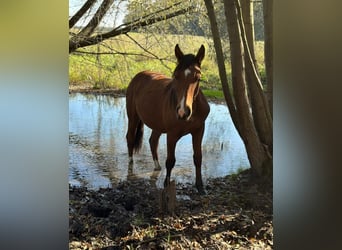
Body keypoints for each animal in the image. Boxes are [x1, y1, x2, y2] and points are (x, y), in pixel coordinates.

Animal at [125, 44, 210, 194]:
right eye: (175, 76)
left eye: (198, 77)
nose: (183, 111)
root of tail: (139, 75)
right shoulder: (172, 134)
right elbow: (170, 160)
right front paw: (166, 185)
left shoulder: (199, 131)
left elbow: (198, 157)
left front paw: (200, 187)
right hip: (133, 117)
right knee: (130, 137)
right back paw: (130, 164)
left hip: (157, 124)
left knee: (153, 141)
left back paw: (157, 166)